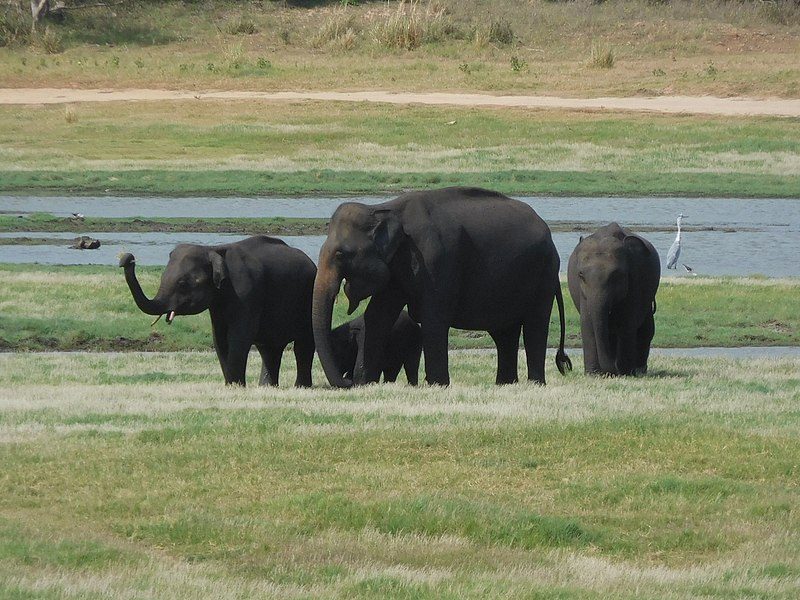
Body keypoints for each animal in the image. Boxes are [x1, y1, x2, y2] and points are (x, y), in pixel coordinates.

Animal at [122, 236, 316, 390]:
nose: (128, 259)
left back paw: (301, 387)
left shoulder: (248, 293)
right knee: (269, 349)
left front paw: (236, 386)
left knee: (303, 345)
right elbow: (219, 338)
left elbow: (239, 336)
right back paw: (267, 387)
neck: (213, 250)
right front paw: (230, 385)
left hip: (308, 298)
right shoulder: (216, 304)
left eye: (182, 284)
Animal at [310, 185, 568, 386]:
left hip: (543, 273)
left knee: (535, 324)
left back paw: (535, 383)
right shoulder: (396, 266)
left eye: (341, 254)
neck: (383, 208)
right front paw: (366, 383)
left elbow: (433, 317)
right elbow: (378, 317)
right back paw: (505, 384)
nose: (347, 381)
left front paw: (437, 385)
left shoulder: (437, 259)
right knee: (504, 333)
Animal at [568, 223, 664, 378]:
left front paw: (625, 373)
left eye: (616, 275)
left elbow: (627, 323)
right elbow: (587, 323)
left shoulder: (635, 280)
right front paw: (593, 374)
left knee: (646, 328)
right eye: (581, 275)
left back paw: (638, 370)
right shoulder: (583, 293)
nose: (612, 370)